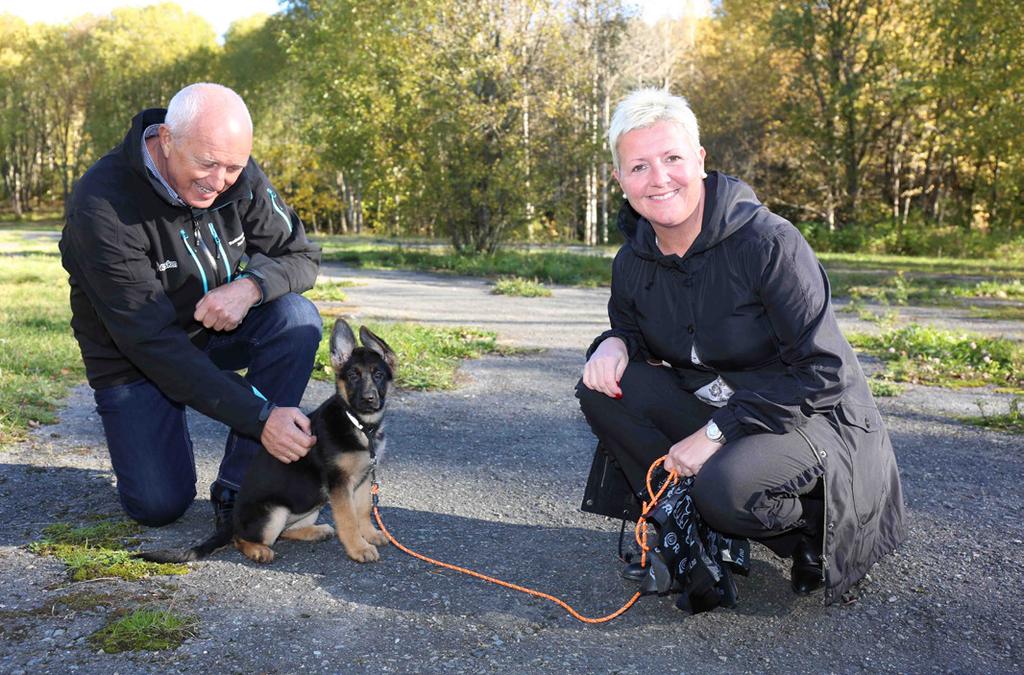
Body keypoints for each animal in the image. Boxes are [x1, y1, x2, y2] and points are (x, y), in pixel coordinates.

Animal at [142, 321, 397, 565]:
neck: (359, 424)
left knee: (285, 532)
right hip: (274, 513)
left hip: (310, 505)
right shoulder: (339, 484)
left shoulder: (363, 479)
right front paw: (359, 548)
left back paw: (315, 531)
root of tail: (232, 520)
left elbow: (363, 511)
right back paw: (258, 551)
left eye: (378, 375)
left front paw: (370, 534)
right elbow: (349, 519)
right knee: (242, 539)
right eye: (353, 376)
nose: (368, 399)